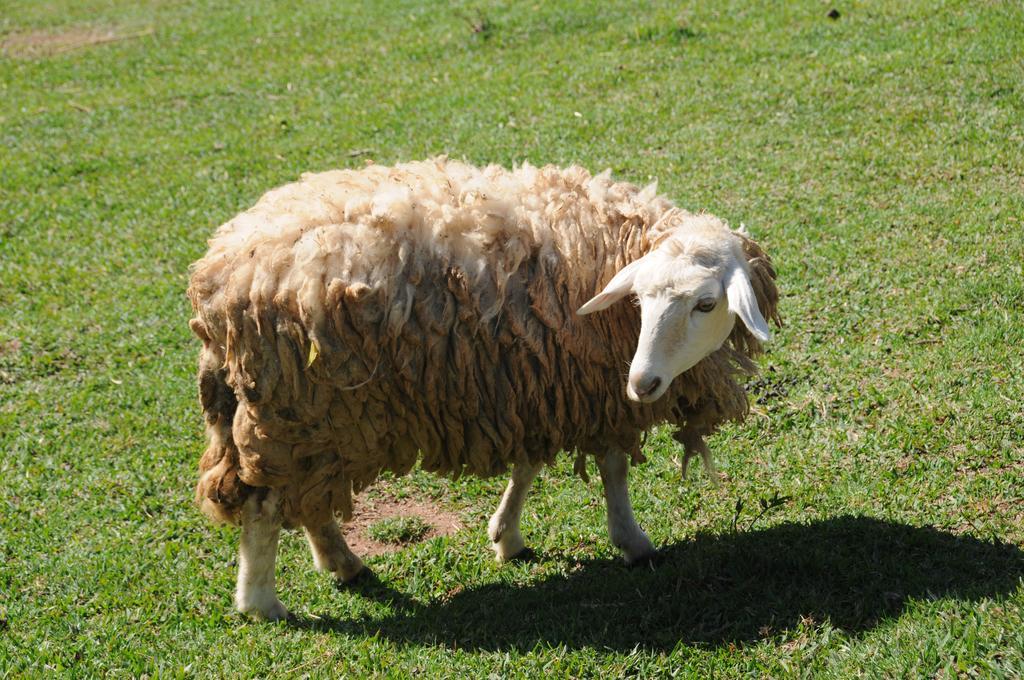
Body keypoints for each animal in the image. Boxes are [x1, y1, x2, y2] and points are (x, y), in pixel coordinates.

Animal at [186, 156, 774, 618]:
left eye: (705, 303)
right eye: (640, 300)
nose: (643, 382)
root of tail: (219, 276)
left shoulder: (537, 384)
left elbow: (528, 465)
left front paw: (506, 535)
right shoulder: (591, 394)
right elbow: (613, 467)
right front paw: (632, 542)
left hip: (316, 421)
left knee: (308, 498)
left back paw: (342, 562)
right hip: (294, 409)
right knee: (265, 506)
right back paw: (261, 603)